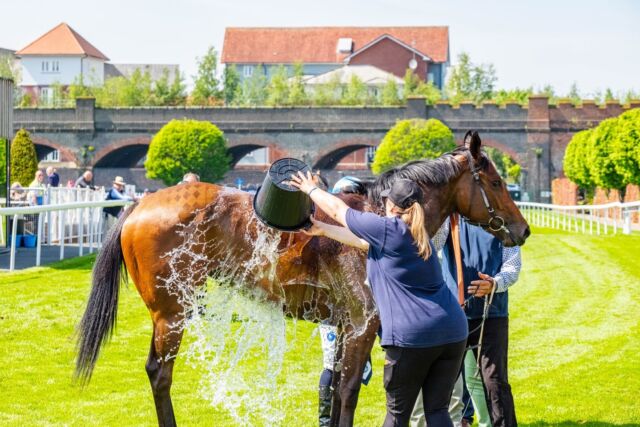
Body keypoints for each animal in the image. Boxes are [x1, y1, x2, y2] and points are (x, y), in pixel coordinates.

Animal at [76, 132, 528, 426]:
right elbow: (348, 391)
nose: (522, 230)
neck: (374, 217)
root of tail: (139, 206)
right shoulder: (363, 325)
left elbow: (336, 389)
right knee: (160, 373)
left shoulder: (344, 328)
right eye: (495, 181)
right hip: (171, 313)